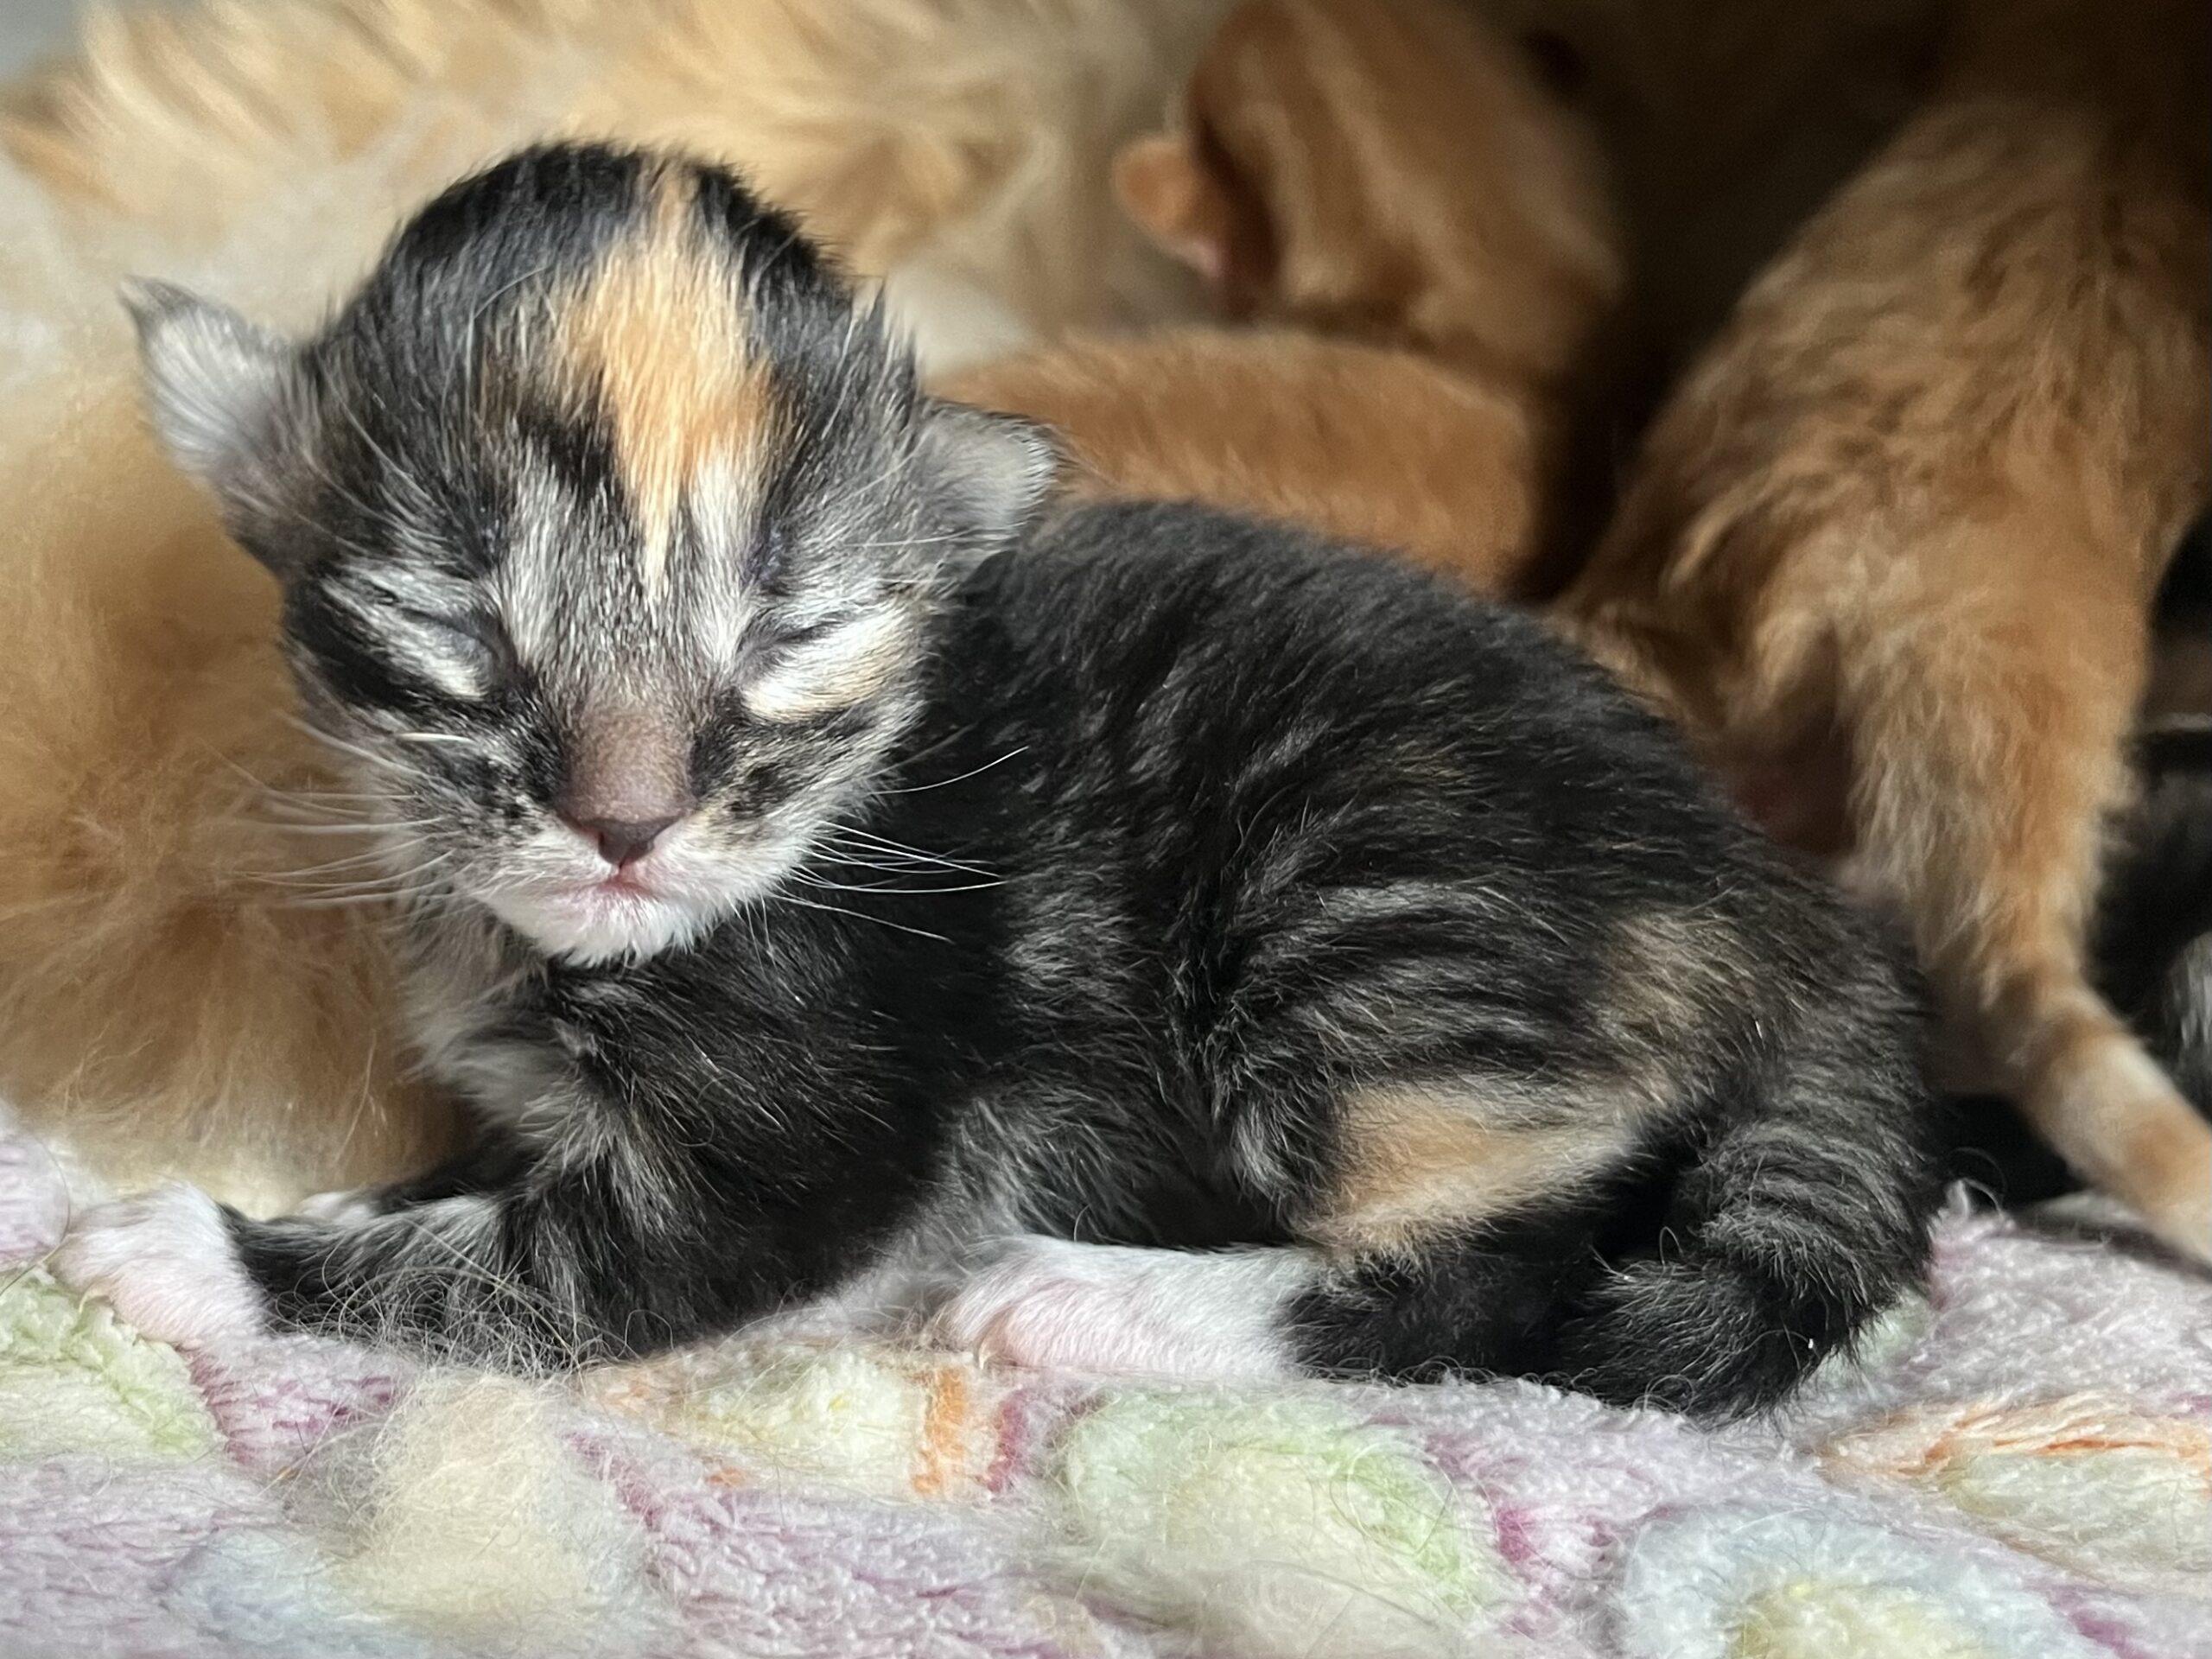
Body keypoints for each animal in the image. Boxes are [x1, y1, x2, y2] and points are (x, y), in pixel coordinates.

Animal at [56, 143, 1938, 1417]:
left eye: (791, 633)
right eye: (453, 618)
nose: (625, 821)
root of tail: (1777, 905)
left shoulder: (802, 1149)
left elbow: (519, 1267)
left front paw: (189, 1252)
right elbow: (459, 1186)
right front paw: (344, 1191)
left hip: (1359, 909)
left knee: (1514, 1275)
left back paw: (1091, 1301)